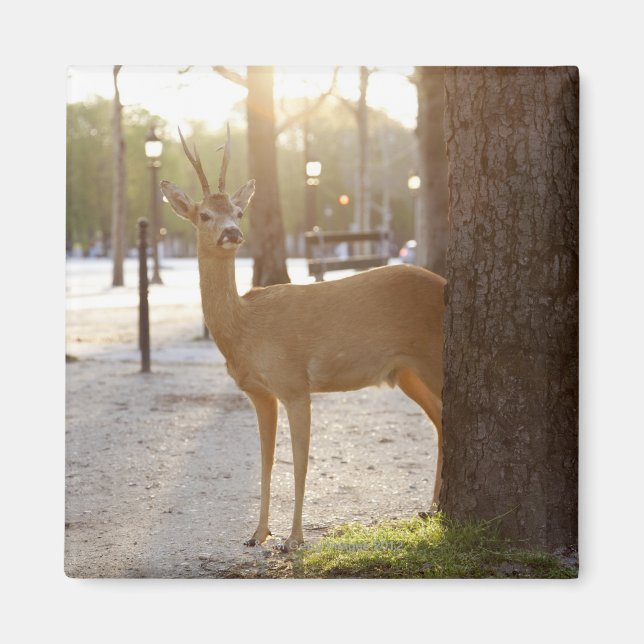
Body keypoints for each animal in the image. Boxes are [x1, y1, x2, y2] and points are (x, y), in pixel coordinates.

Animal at [160, 125, 446, 552]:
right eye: (204, 214)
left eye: (239, 212)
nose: (233, 233)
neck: (245, 330)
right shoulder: (259, 392)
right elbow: (265, 460)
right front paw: (257, 533)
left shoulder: (294, 382)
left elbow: (299, 461)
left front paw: (293, 539)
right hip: (408, 372)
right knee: (442, 420)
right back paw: (432, 508)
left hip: (435, 359)